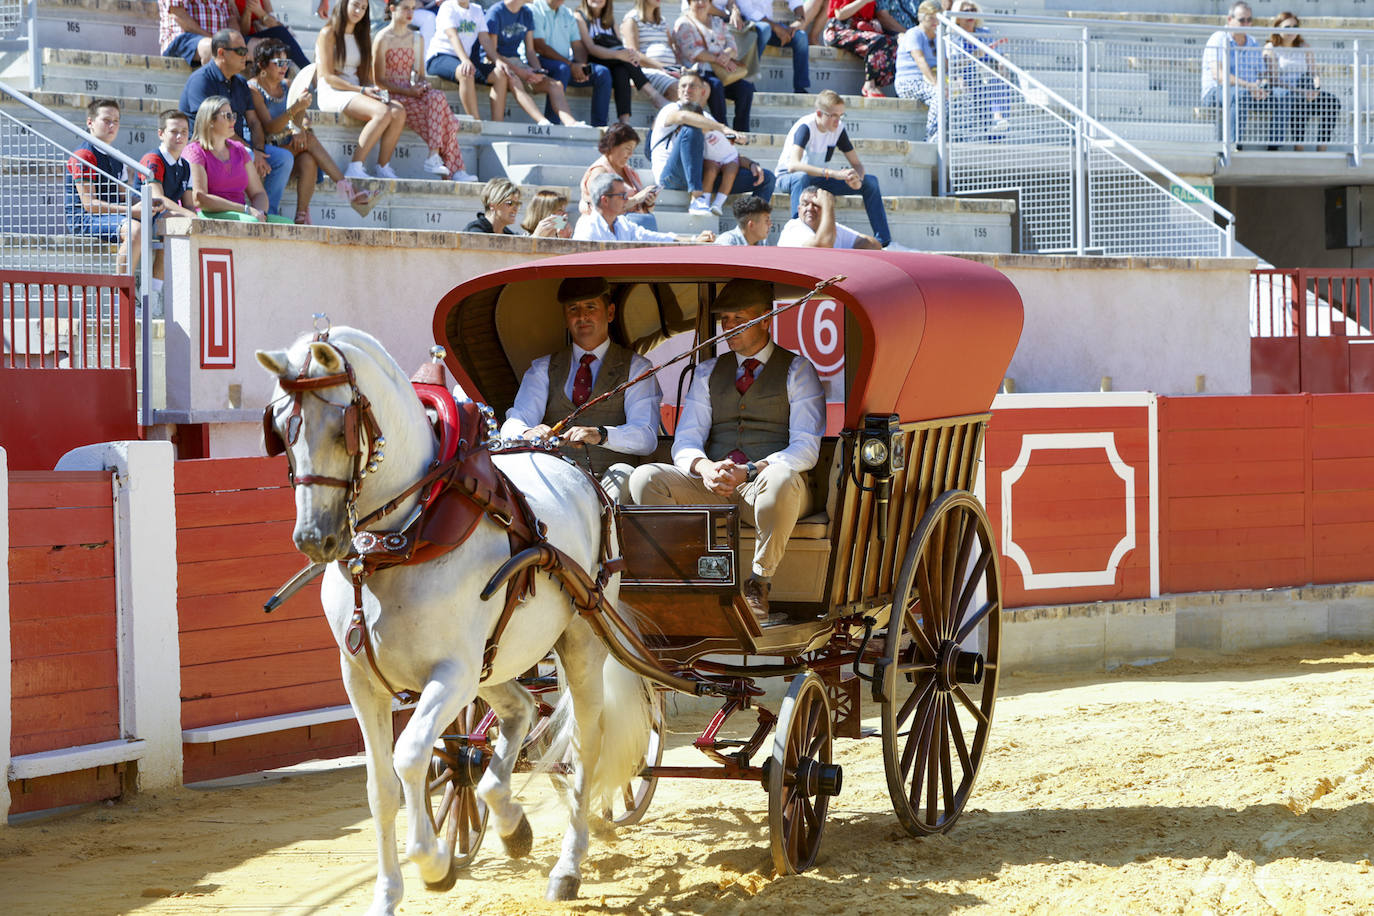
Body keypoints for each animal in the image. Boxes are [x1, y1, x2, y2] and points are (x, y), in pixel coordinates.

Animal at [258, 328, 654, 911]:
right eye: (283, 428)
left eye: (340, 426)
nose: (314, 538)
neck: (399, 541)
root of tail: (578, 470)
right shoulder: (361, 681)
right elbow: (381, 789)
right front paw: (387, 894)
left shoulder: (450, 674)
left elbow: (409, 756)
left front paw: (434, 864)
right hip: (493, 662)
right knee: (517, 712)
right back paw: (510, 822)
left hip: (577, 644)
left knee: (585, 743)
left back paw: (567, 866)